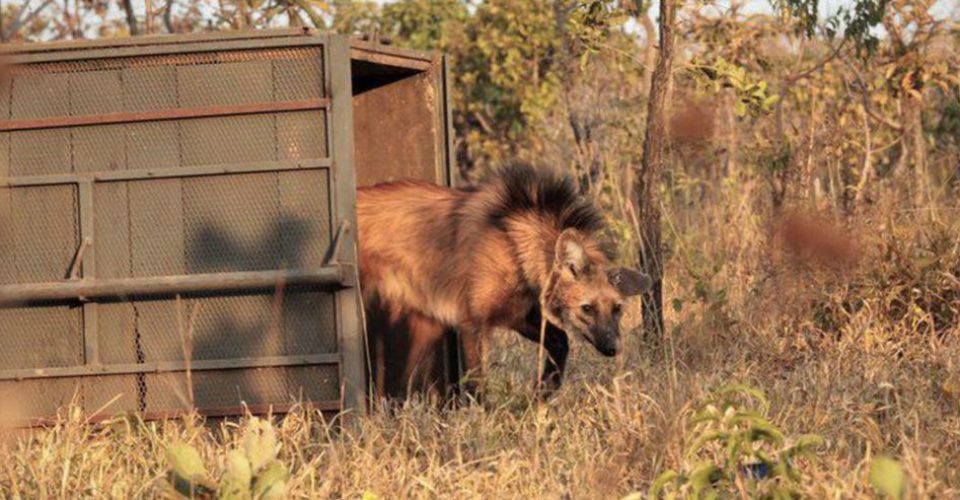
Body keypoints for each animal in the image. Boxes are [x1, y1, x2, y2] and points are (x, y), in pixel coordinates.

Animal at [356, 163, 648, 394]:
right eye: (587, 308)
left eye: (617, 309)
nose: (614, 348)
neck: (514, 247)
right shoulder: (472, 324)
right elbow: (476, 386)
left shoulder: (515, 313)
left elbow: (560, 340)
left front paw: (542, 393)